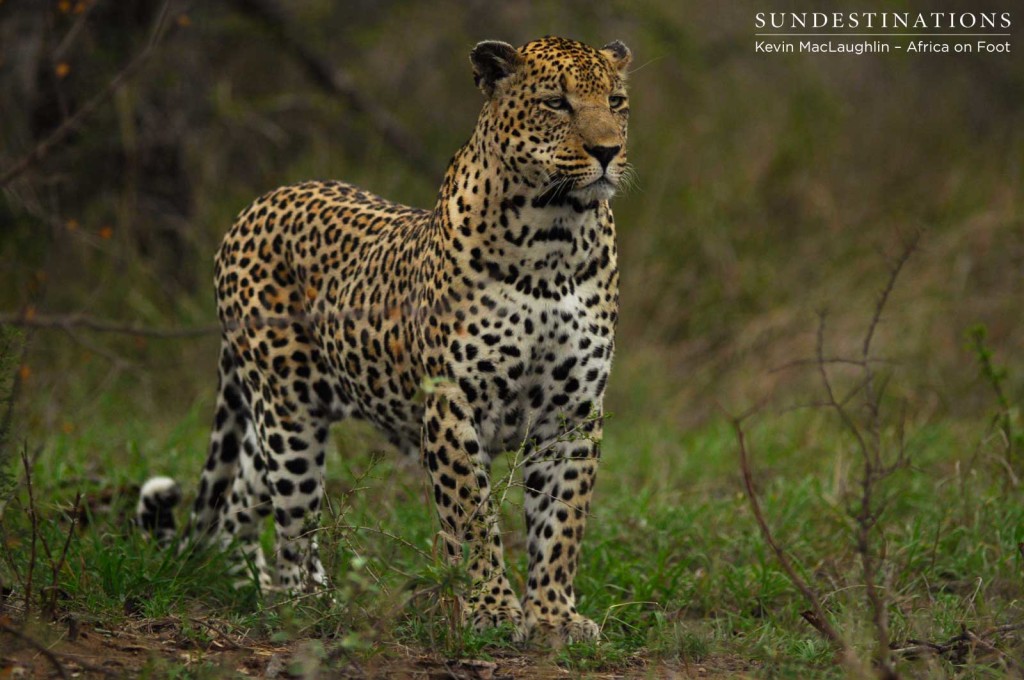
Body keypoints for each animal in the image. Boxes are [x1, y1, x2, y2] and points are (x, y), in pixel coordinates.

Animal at [136, 37, 630, 643]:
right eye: (556, 103)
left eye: (616, 101)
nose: (607, 150)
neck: (555, 236)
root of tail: (256, 205)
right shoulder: (451, 404)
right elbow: (473, 519)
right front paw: (491, 610)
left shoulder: (574, 414)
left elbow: (561, 522)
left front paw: (555, 617)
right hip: (288, 414)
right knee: (294, 524)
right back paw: (308, 605)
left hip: (283, 417)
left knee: (242, 500)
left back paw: (253, 586)